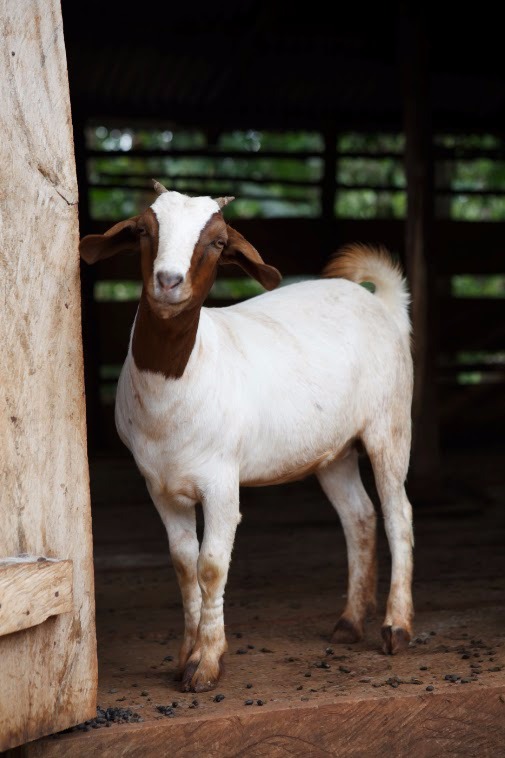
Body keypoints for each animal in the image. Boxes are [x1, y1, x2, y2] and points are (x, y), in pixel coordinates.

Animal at [80, 181, 414, 693]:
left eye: (218, 242)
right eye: (142, 230)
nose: (169, 281)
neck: (178, 381)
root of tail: (380, 303)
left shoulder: (221, 480)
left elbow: (211, 564)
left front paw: (206, 662)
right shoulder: (159, 485)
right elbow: (183, 563)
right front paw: (185, 654)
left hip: (390, 424)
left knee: (399, 515)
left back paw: (396, 628)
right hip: (332, 451)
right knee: (359, 517)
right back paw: (349, 622)